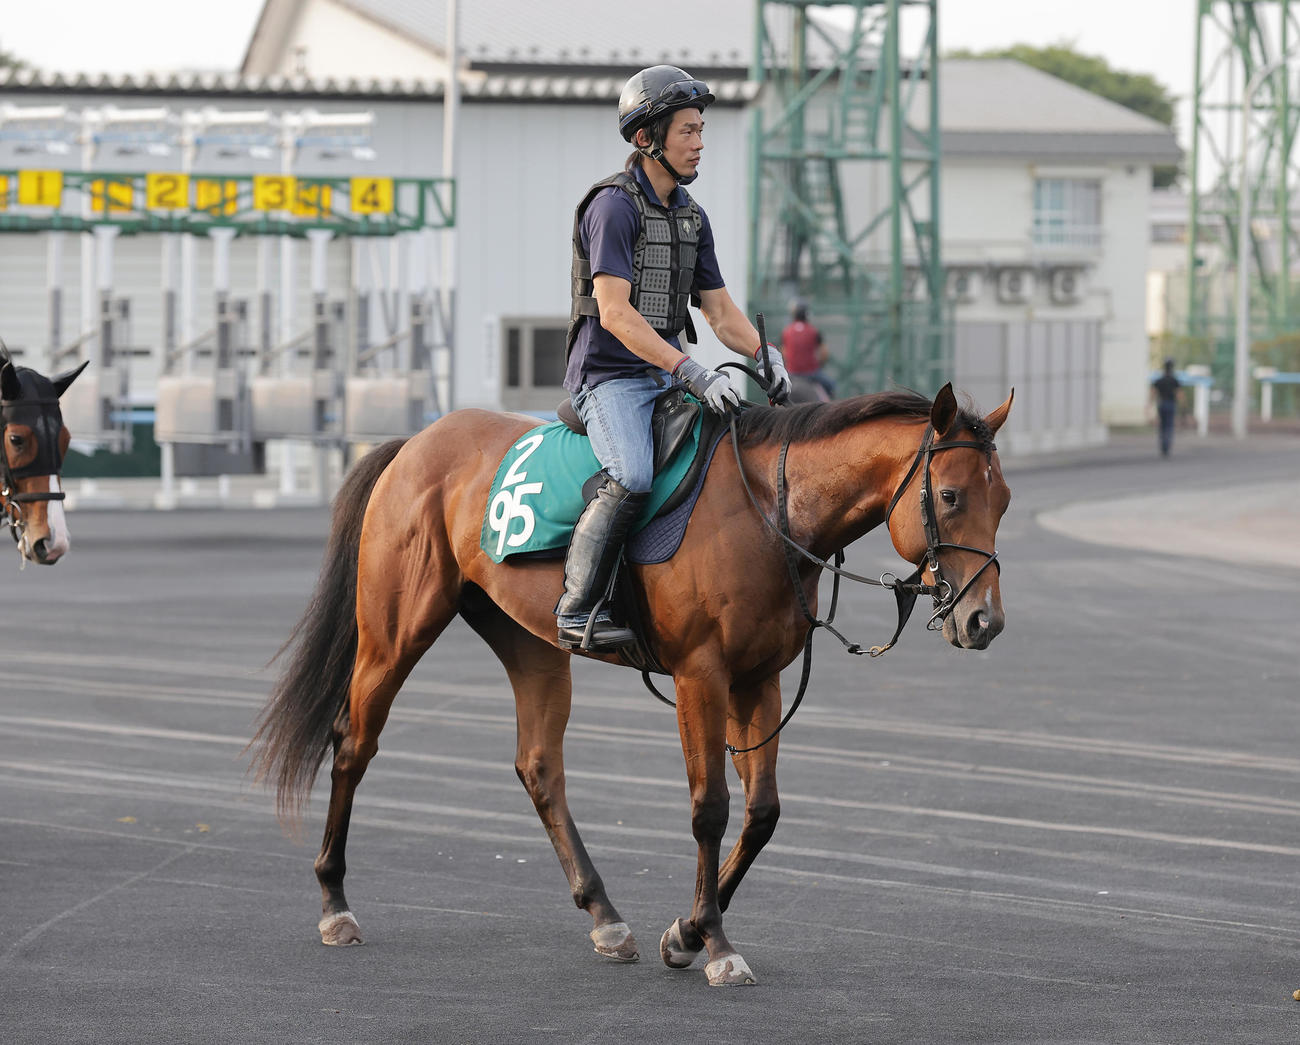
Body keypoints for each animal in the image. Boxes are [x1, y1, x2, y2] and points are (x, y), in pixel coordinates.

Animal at [251, 381, 1013, 986]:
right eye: (950, 495)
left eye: (1003, 500)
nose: (984, 620)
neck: (769, 511)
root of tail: (417, 442)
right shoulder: (701, 676)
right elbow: (710, 808)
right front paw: (714, 943)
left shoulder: (758, 679)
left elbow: (762, 813)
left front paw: (685, 933)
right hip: (394, 632)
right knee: (353, 744)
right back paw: (335, 904)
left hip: (531, 645)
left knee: (539, 767)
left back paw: (606, 916)